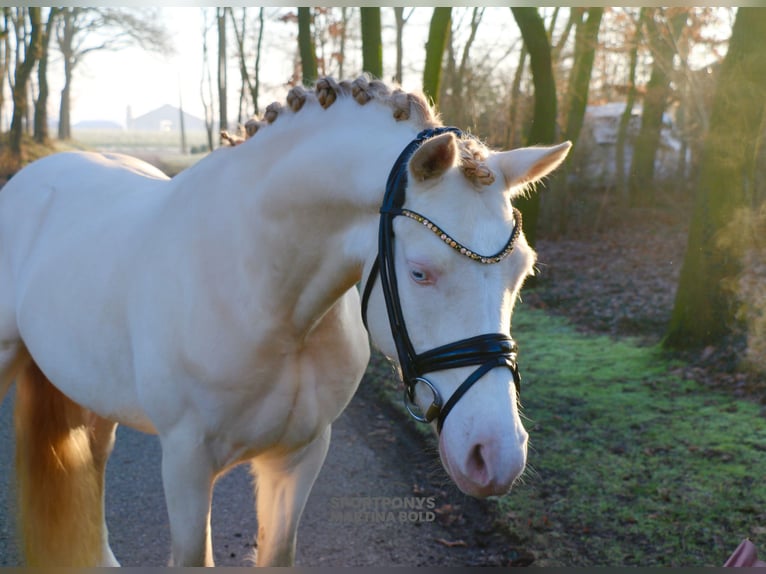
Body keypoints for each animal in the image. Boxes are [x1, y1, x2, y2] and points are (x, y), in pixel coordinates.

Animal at [0, 79, 568, 568]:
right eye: (419, 271)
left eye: (523, 271)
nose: (494, 455)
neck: (267, 303)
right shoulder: (185, 465)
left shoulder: (299, 456)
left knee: (91, 461)